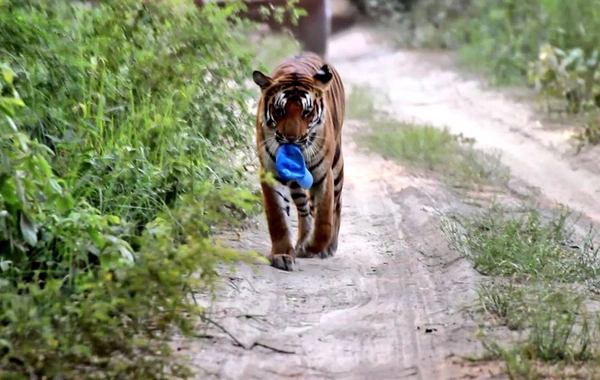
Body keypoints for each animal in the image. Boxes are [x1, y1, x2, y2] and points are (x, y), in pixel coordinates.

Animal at [252, 53, 346, 272]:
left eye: (307, 112)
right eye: (279, 111)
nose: (291, 139)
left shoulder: (323, 175)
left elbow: (324, 221)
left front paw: (314, 247)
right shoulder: (271, 173)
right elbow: (278, 217)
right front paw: (282, 255)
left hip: (337, 165)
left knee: (336, 205)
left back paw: (328, 247)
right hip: (296, 183)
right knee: (305, 211)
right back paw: (302, 241)